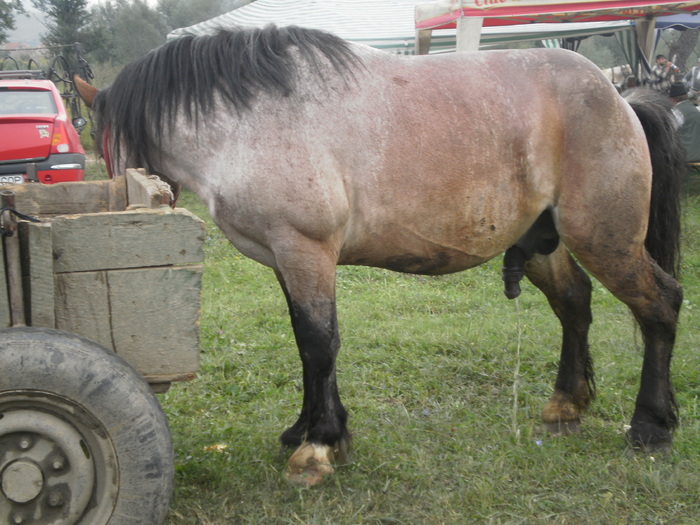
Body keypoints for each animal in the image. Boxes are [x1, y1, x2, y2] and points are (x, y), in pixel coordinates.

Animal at [75, 23, 684, 484]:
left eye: (112, 152)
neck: (250, 123)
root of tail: (620, 98)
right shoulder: (285, 258)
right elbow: (308, 345)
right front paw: (312, 430)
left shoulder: (305, 249)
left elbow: (318, 344)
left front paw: (318, 447)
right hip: (542, 243)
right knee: (574, 303)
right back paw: (565, 406)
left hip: (606, 239)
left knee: (660, 306)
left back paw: (650, 426)